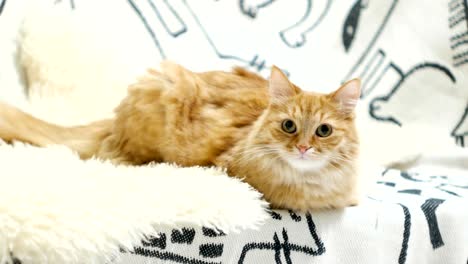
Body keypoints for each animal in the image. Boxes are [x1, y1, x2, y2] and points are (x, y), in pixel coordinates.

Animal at [0, 61, 362, 210]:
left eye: (323, 131)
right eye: (289, 126)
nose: (302, 147)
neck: (308, 186)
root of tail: (112, 124)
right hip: (165, 88)